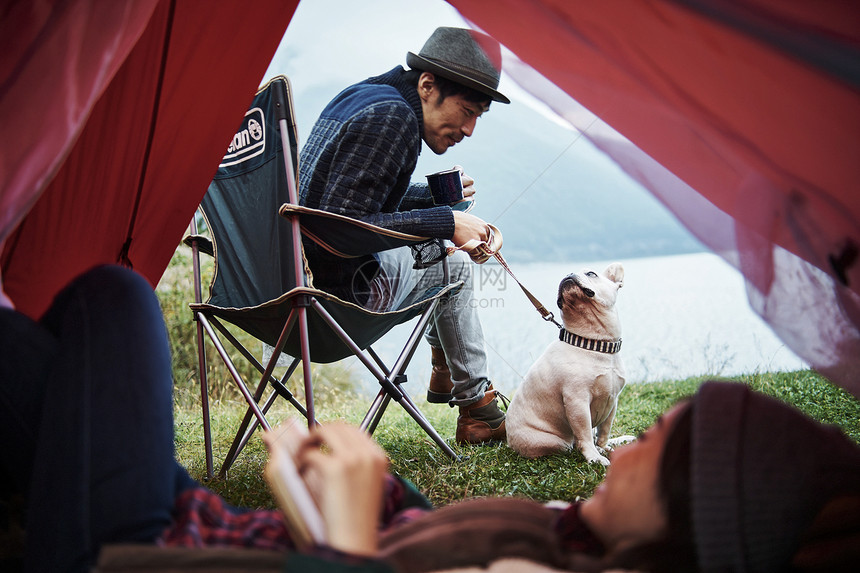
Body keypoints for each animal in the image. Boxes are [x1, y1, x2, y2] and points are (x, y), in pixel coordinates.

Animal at [504, 264, 632, 464]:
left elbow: (604, 429)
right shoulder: (577, 402)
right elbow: (585, 433)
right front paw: (594, 457)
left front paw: (603, 447)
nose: (568, 274)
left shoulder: (613, 401)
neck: (593, 342)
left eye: (591, 274)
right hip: (553, 441)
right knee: (570, 444)